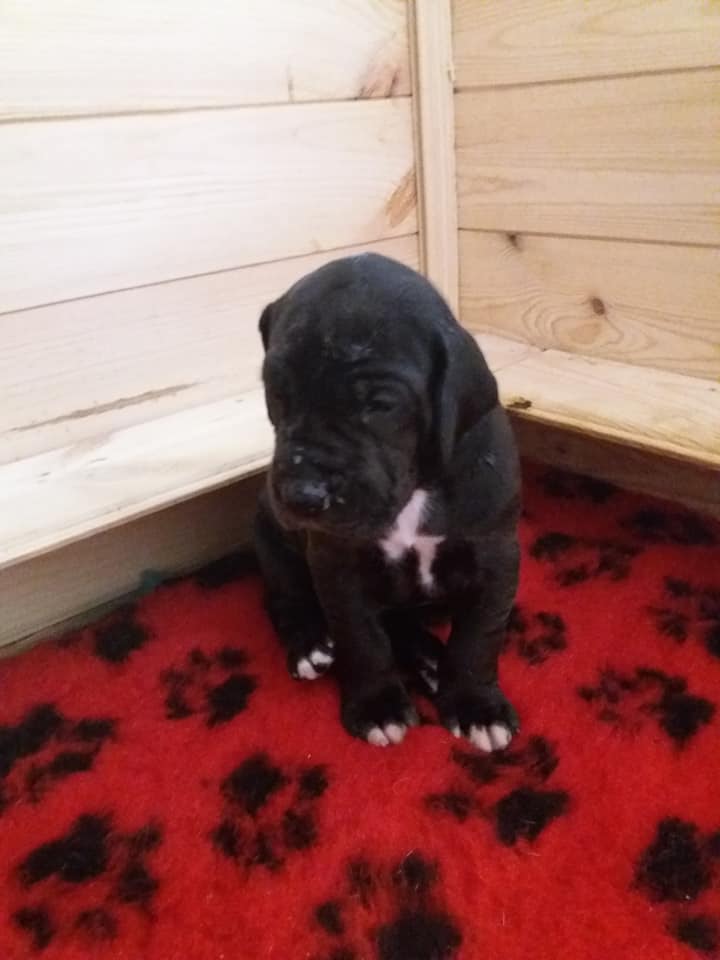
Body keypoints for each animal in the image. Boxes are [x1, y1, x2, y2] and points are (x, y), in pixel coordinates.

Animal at [254, 253, 521, 751]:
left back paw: (431, 660)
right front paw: (377, 707)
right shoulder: (337, 563)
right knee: (286, 596)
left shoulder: (495, 554)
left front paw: (476, 705)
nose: (303, 494)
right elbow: (362, 638)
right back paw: (312, 644)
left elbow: (479, 635)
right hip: (270, 539)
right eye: (277, 393)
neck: (417, 485)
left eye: (379, 404)